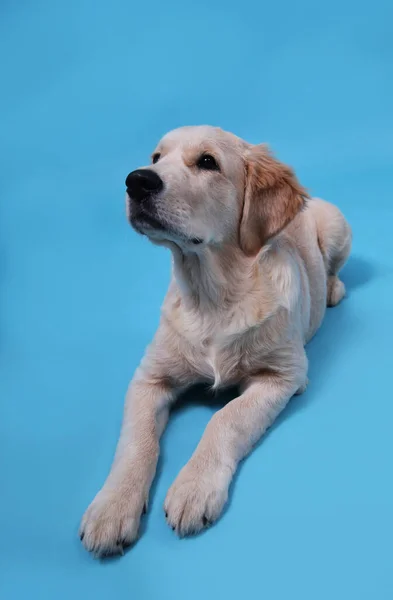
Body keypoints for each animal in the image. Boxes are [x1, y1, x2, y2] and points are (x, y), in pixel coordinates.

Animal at [79, 124, 352, 556]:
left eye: (207, 162)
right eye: (156, 158)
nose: (136, 180)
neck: (212, 295)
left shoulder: (283, 376)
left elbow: (226, 419)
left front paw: (194, 487)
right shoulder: (148, 378)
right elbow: (136, 441)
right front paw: (112, 507)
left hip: (336, 225)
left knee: (335, 268)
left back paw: (333, 288)